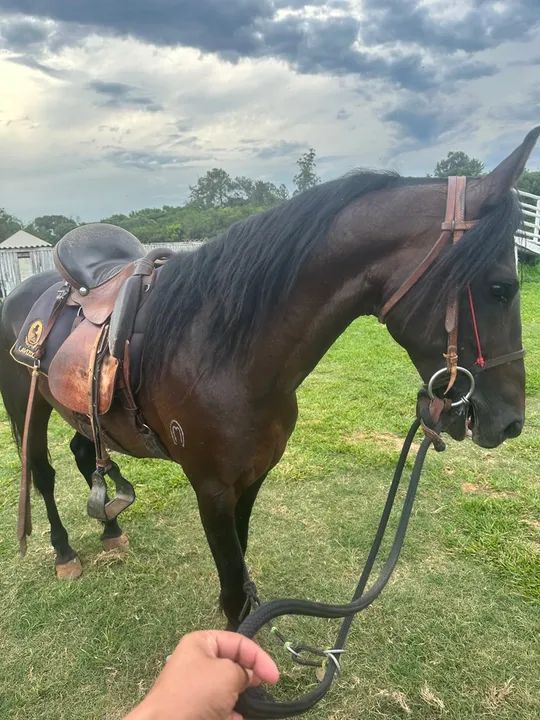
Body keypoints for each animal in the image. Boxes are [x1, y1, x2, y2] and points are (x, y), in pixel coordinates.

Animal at [0, 127, 537, 630]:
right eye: (500, 288)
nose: (511, 421)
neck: (224, 352)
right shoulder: (212, 490)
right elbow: (234, 593)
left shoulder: (251, 479)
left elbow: (243, 583)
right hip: (25, 407)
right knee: (42, 473)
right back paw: (64, 552)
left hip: (82, 413)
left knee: (85, 451)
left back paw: (111, 531)